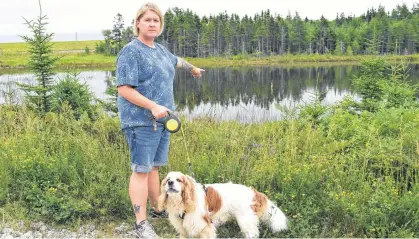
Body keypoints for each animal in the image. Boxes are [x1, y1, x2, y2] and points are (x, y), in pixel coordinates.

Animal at [158, 172, 288, 237]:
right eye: (168, 180)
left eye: (178, 180)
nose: (170, 182)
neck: (180, 202)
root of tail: (254, 192)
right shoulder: (184, 228)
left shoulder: (205, 227)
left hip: (245, 221)